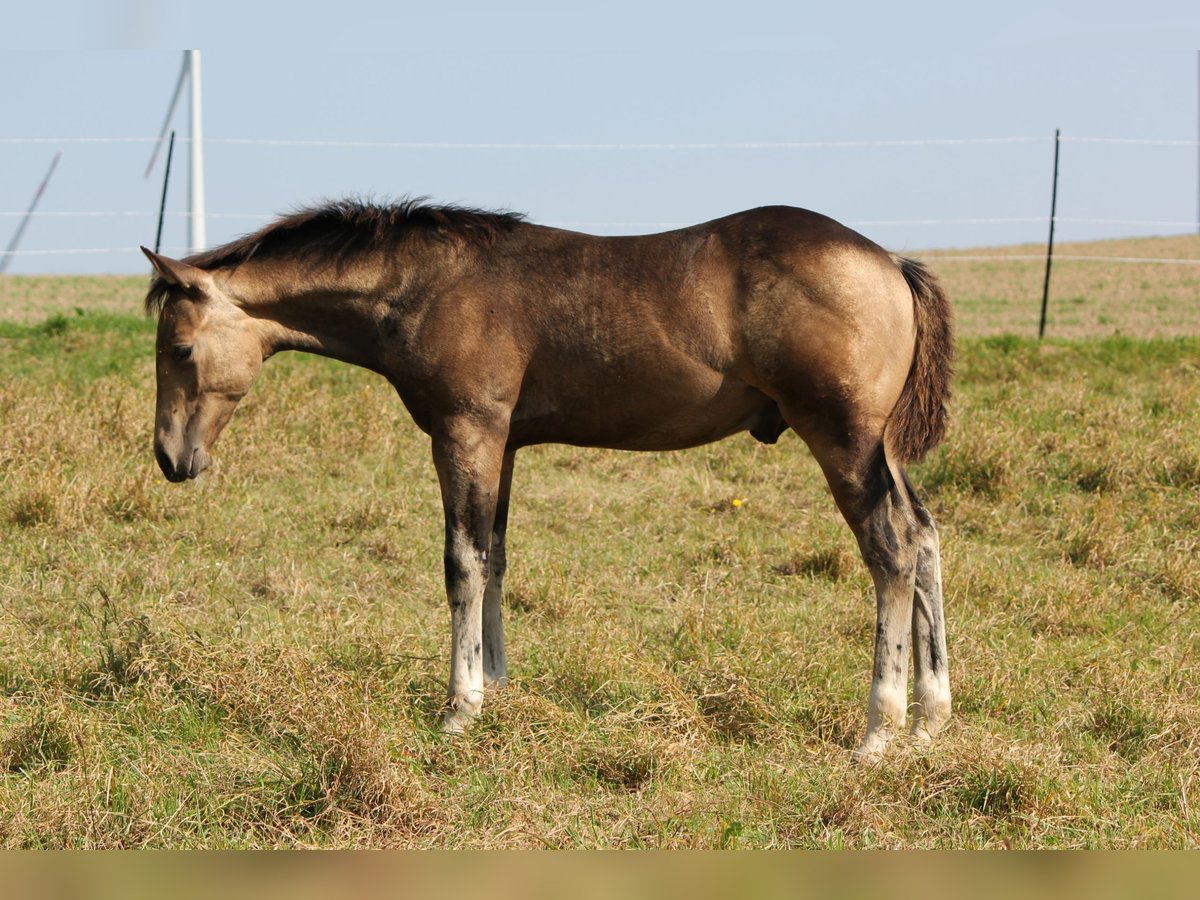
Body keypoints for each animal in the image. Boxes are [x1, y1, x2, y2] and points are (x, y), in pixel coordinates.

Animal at [140, 199, 950, 763]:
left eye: (178, 348)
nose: (170, 459)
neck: (428, 288)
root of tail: (890, 262)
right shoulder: (504, 445)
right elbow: (495, 558)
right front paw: (496, 690)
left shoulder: (467, 433)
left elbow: (462, 563)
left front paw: (459, 708)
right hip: (880, 450)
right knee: (925, 539)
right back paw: (932, 718)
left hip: (842, 439)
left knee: (891, 552)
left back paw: (880, 730)